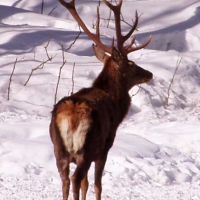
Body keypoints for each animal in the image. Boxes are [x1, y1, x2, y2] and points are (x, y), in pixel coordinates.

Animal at [49, 0, 152, 200]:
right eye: (131, 64)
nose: (149, 74)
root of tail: (70, 116)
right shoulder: (105, 147)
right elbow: (97, 185)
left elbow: (86, 184)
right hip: (87, 148)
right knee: (75, 179)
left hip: (59, 150)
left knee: (65, 181)